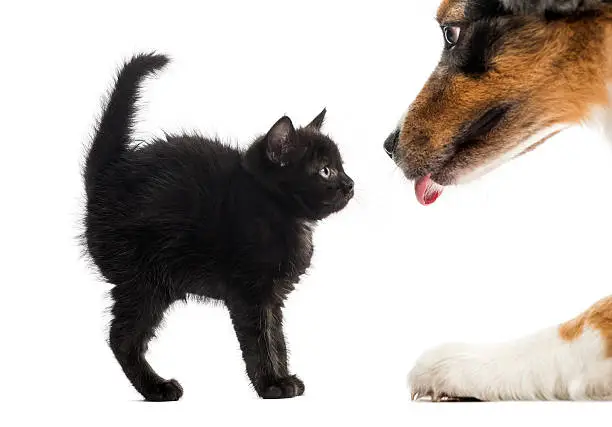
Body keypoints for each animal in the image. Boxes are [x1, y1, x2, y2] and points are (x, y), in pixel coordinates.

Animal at [85, 53, 354, 402]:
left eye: (341, 166)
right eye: (325, 171)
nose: (350, 184)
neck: (272, 205)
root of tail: (107, 176)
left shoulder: (272, 296)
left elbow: (277, 337)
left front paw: (284, 378)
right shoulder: (249, 293)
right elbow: (260, 340)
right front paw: (271, 384)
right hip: (145, 281)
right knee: (122, 338)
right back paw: (157, 388)